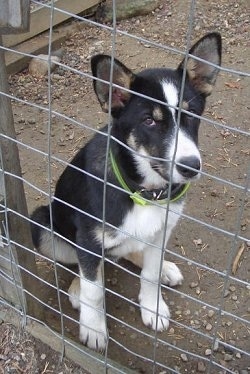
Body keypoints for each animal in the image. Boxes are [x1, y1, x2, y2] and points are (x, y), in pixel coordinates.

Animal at [30, 32, 221, 350]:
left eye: (192, 114)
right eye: (149, 120)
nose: (191, 167)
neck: (142, 193)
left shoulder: (163, 228)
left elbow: (150, 274)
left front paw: (153, 306)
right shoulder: (89, 240)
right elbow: (95, 291)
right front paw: (94, 329)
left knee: (132, 252)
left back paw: (165, 268)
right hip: (43, 224)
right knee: (82, 268)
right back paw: (77, 288)